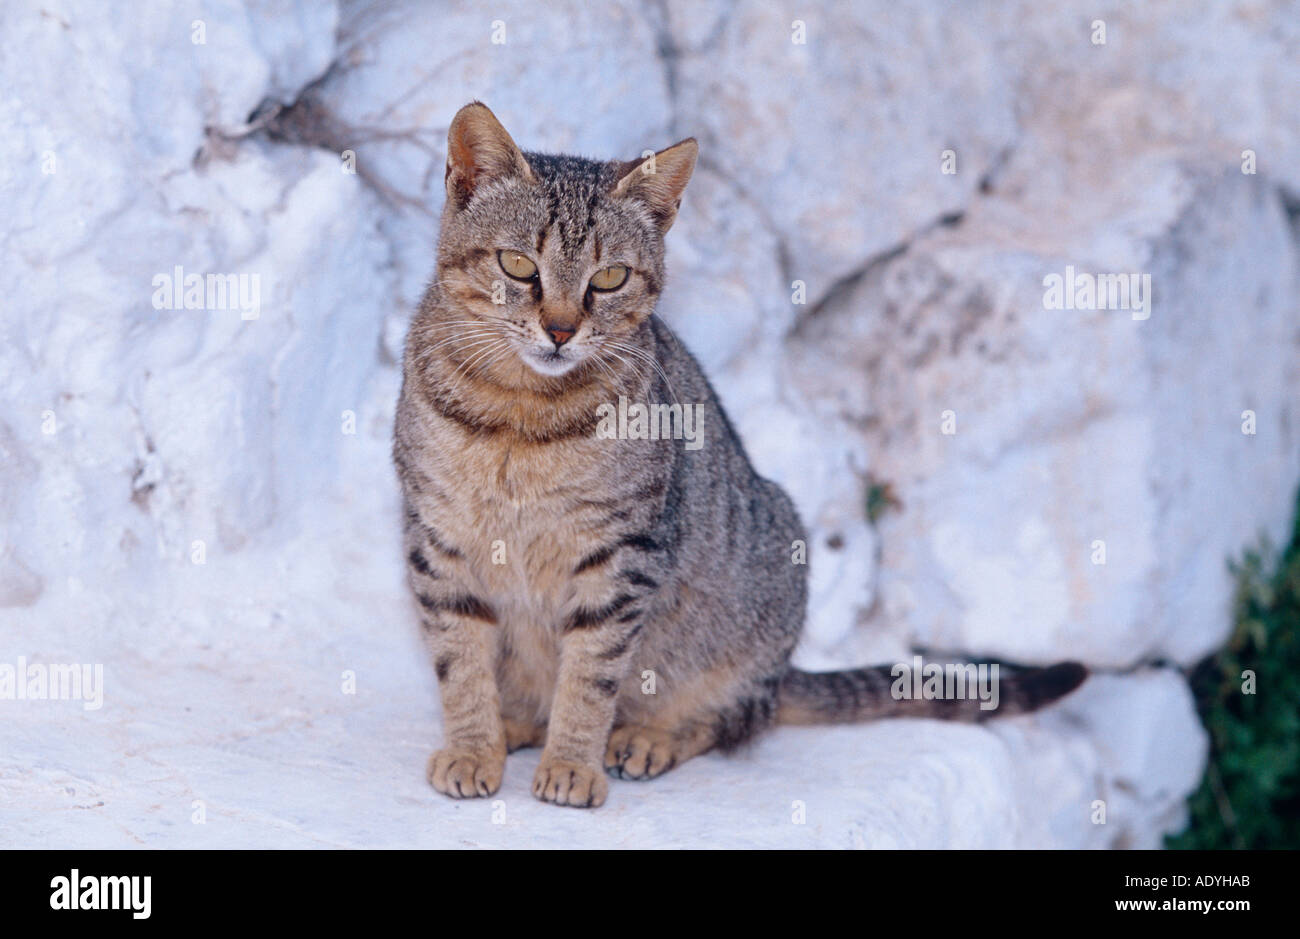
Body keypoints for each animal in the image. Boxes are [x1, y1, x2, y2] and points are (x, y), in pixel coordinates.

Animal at [392, 100, 1086, 806]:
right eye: (517, 266)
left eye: (609, 277)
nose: (561, 330)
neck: (521, 416)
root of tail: (783, 670)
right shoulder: (437, 539)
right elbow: (460, 663)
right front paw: (473, 746)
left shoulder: (623, 555)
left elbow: (590, 677)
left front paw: (572, 763)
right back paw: (517, 724)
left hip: (766, 580)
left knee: (735, 718)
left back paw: (647, 738)